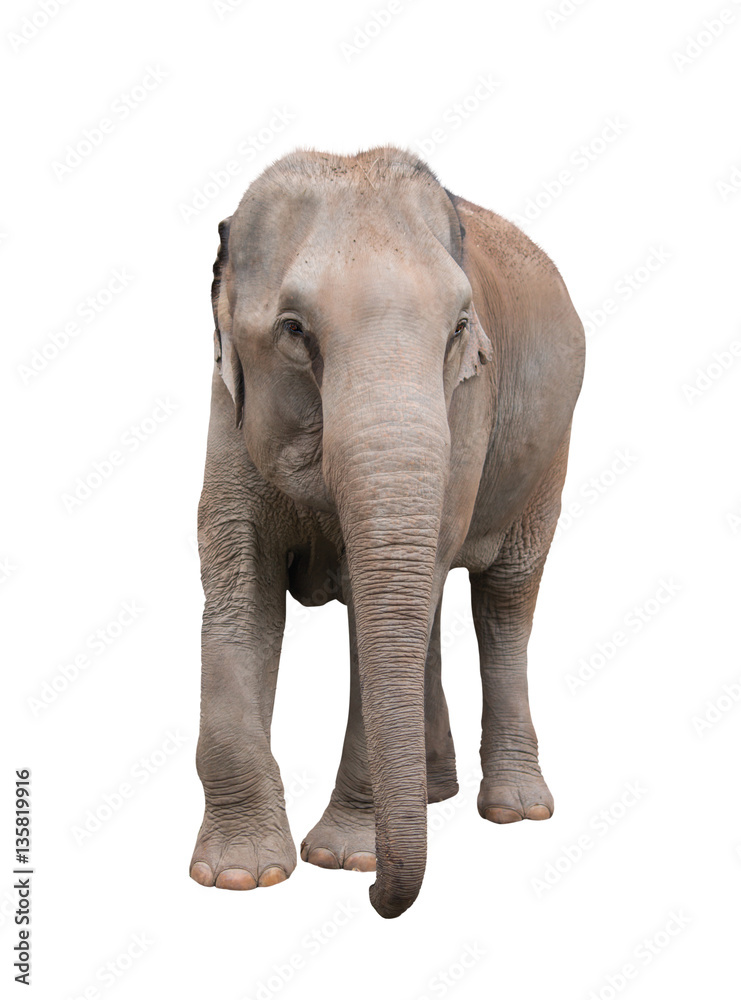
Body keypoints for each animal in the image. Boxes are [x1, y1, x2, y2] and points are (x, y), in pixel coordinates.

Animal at [191, 145, 584, 916]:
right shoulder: (228, 409)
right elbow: (240, 596)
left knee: (502, 602)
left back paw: (514, 810)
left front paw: (343, 858)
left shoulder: (466, 405)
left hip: (547, 456)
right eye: (294, 329)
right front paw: (241, 876)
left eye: (459, 328)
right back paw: (434, 795)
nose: (378, 896)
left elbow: (398, 596)